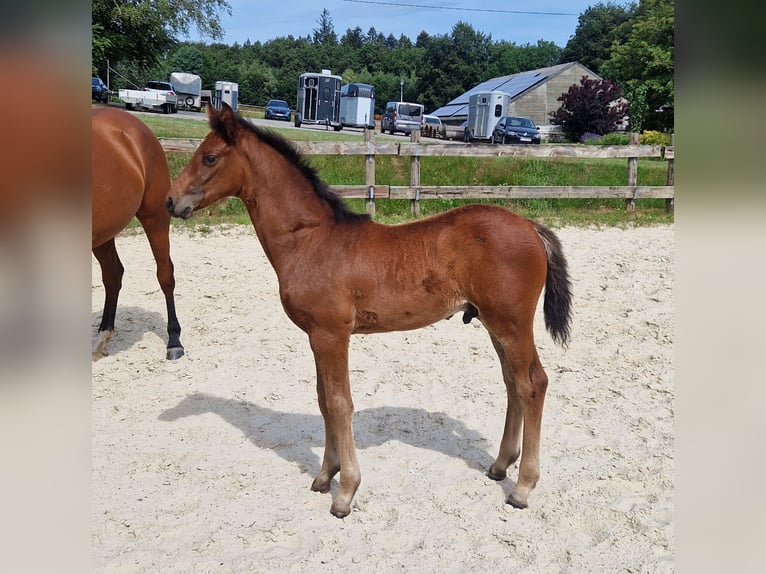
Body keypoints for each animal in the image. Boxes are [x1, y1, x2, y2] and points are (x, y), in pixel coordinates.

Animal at [92, 107, 184, 361]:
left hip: (155, 219)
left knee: (165, 274)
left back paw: (174, 341)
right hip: (103, 233)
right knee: (112, 275)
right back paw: (102, 337)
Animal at [166, 103, 572, 518]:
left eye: (209, 157)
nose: (170, 201)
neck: (310, 240)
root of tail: (531, 227)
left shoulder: (331, 335)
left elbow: (339, 404)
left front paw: (345, 492)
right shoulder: (317, 337)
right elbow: (323, 400)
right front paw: (324, 476)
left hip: (512, 325)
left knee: (533, 384)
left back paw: (522, 487)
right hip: (495, 325)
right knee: (512, 385)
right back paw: (500, 465)